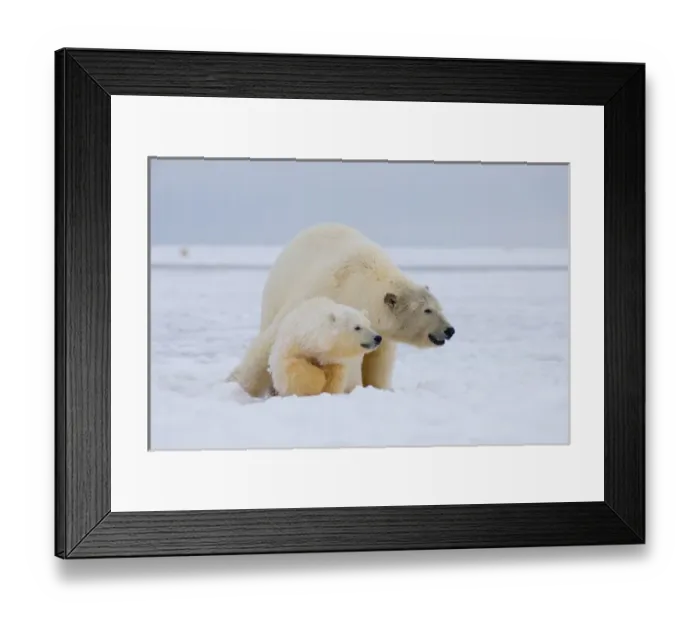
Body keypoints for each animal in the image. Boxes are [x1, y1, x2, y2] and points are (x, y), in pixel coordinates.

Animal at [229, 223, 455, 398]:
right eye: (427, 310)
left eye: (439, 307)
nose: (450, 330)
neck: (360, 281)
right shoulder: (321, 293)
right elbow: (271, 343)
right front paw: (236, 385)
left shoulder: (380, 332)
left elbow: (378, 361)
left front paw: (379, 389)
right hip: (275, 293)